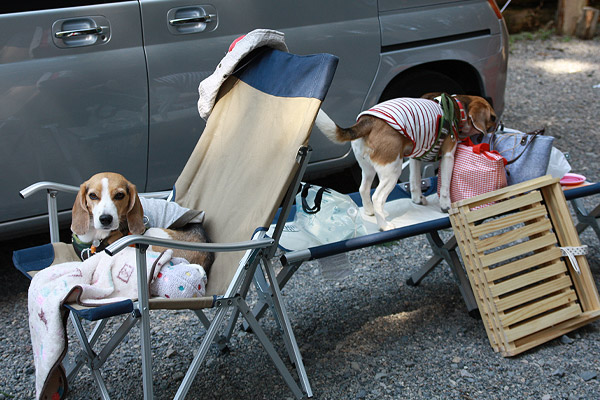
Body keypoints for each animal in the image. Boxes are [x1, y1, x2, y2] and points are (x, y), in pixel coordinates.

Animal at [314, 93, 496, 231]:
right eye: (493, 118)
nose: (496, 128)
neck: (457, 107)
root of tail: (367, 121)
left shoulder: (416, 156)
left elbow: (415, 182)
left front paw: (418, 199)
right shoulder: (448, 155)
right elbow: (445, 186)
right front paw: (446, 206)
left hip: (368, 169)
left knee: (363, 189)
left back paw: (371, 212)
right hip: (392, 171)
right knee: (377, 197)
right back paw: (384, 225)